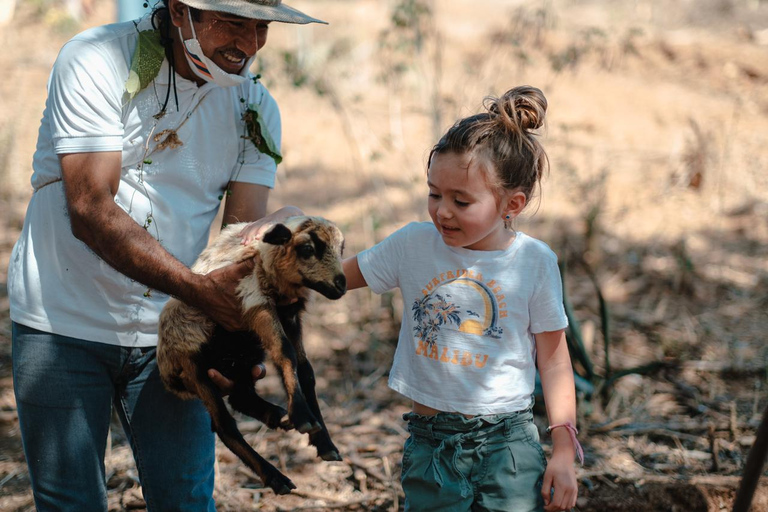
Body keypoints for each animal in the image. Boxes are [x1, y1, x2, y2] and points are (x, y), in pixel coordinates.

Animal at [158, 217, 346, 496]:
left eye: (341, 248)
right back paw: (276, 477)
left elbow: (305, 371)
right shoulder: (255, 300)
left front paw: (324, 442)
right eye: (307, 249)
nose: (341, 284)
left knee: (240, 397)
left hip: (241, 357)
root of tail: (168, 376)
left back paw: (276, 416)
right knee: (224, 425)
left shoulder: (290, 316)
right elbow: (285, 354)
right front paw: (303, 417)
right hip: (194, 365)